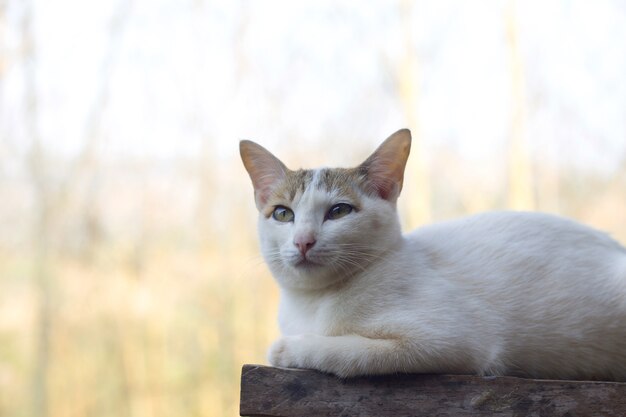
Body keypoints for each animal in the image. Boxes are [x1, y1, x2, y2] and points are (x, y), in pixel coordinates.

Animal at [238, 130, 624, 380]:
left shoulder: (450, 341)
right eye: (283, 214)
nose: (303, 241)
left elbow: (349, 353)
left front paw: (288, 349)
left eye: (339, 211)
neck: (313, 302)